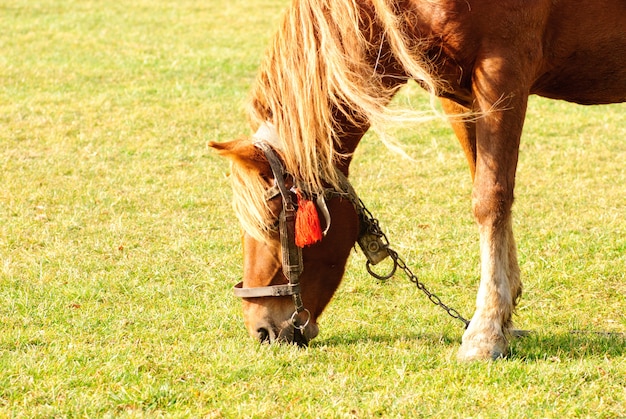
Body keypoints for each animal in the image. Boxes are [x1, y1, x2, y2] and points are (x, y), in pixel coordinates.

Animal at [211, 0, 624, 360]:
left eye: (271, 222)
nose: (262, 329)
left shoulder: (503, 74)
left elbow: (490, 198)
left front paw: (486, 331)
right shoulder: (459, 94)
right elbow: (488, 189)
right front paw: (503, 314)